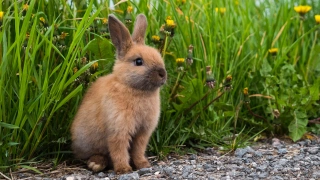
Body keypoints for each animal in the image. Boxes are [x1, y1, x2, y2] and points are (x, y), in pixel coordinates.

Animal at [70, 14, 168, 174]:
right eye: (138, 61)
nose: (162, 73)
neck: (133, 88)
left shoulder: (142, 133)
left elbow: (138, 150)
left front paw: (143, 165)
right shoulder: (118, 130)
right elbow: (119, 150)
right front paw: (124, 169)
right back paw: (96, 164)